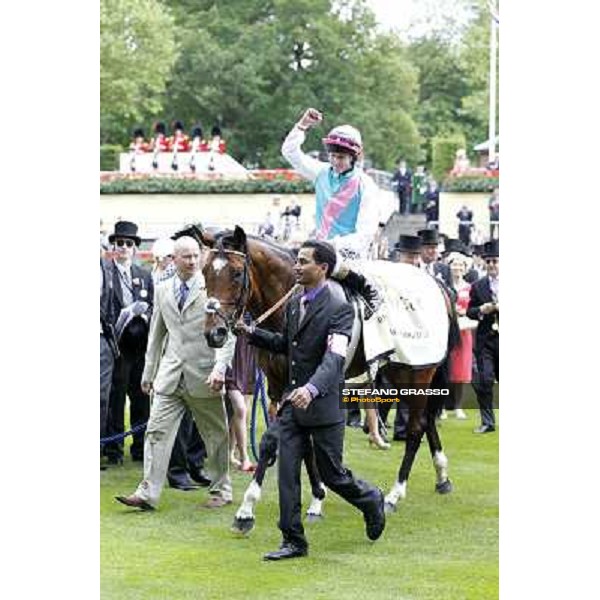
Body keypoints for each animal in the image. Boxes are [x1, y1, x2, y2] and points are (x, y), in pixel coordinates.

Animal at [190, 224, 458, 528]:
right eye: (205, 272)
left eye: (236, 273)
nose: (215, 333)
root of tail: (436, 284)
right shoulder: (279, 386)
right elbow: (303, 441)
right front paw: (317, 498)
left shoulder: (302, 384)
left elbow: (273, 441)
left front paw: (247, 509)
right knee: (426, 420)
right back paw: (442, 475)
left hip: (416, 370)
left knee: (416, 426)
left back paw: (395, 494)